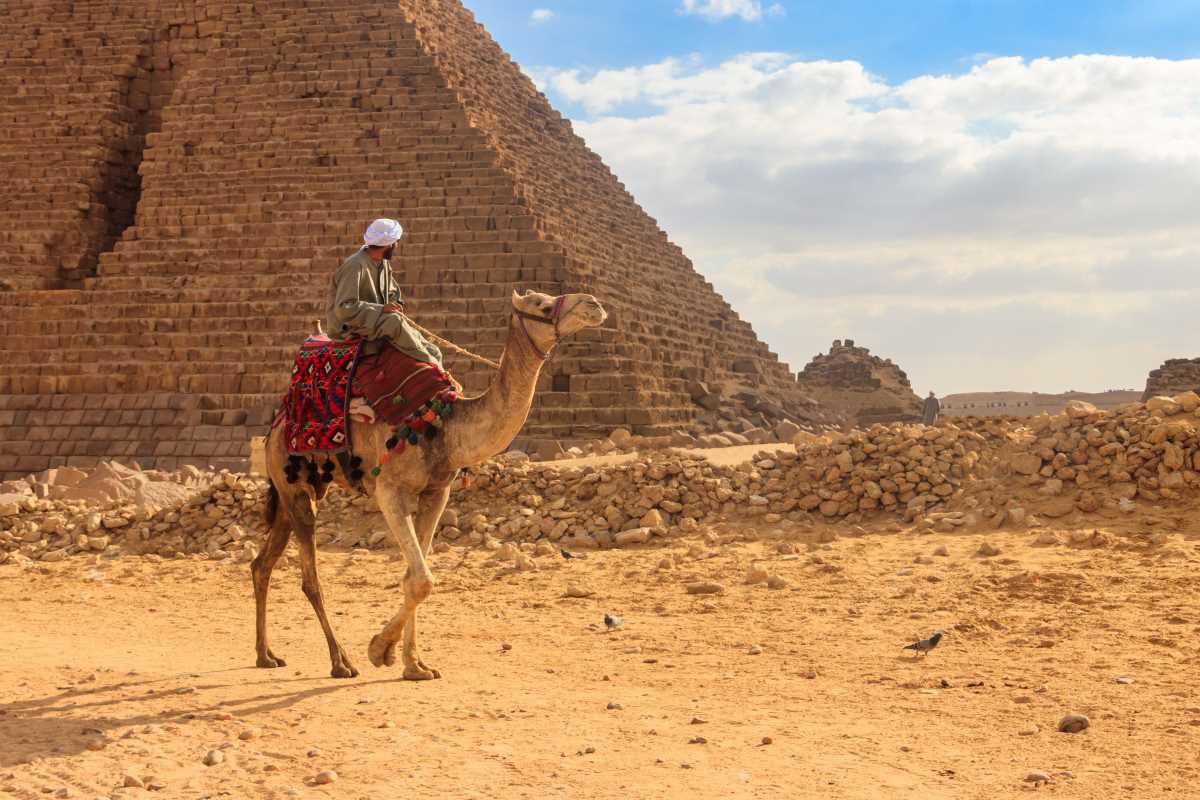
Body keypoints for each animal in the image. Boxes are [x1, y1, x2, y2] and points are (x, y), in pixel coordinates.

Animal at [253, 290, 608, 680]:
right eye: (542, 305)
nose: (594, 304)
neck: (448, 426)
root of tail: (275, 424)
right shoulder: (389, 490)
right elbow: (422, 579)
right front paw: (379, 650)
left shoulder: (437, 492)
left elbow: (413, 577)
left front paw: (414, 664)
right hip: (295, 485)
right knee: (309, 579)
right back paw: (340, 661)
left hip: (297, 490)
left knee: (262, 564)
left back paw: (266, 655)